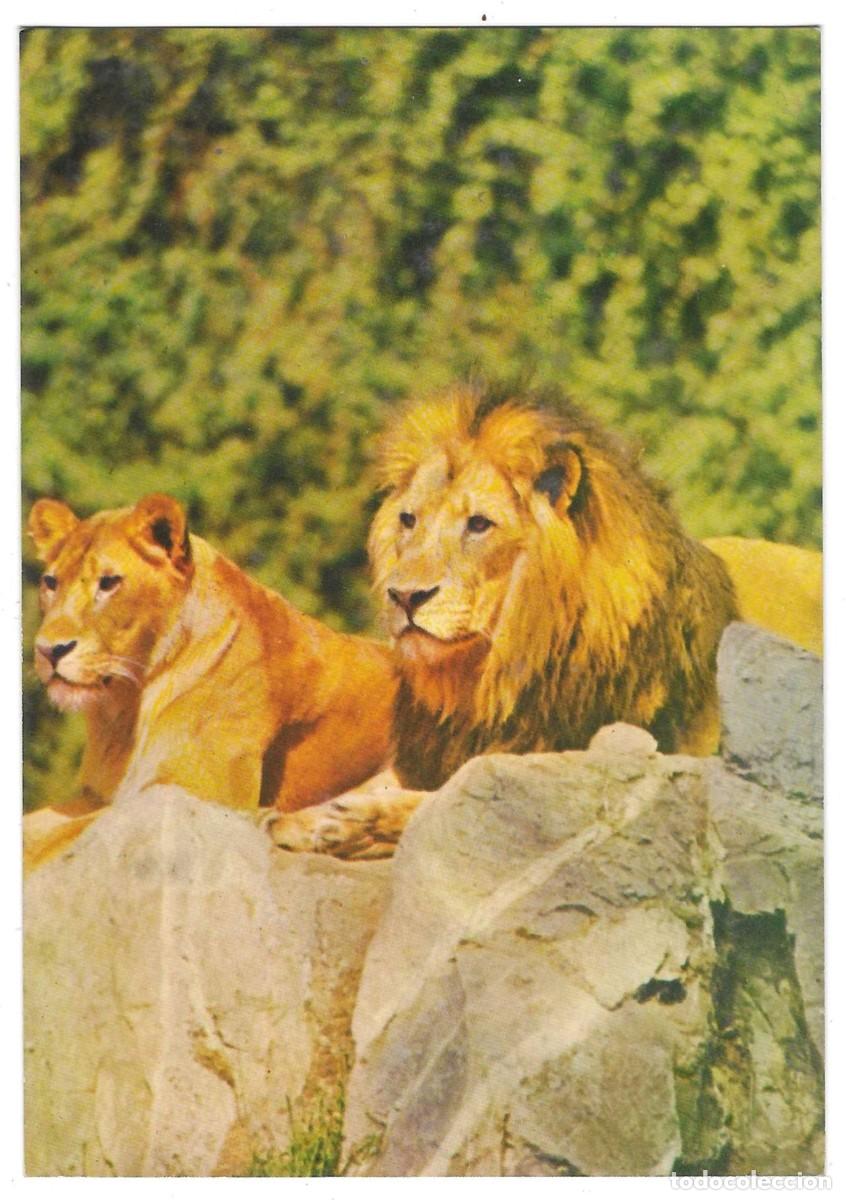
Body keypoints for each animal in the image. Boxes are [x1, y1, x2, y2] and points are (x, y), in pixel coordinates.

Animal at [25, 492, 397, 869]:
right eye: (51, 583)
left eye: (109, 582)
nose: (48, 650)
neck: (127, 705)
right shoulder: (97, 795)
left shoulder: (195, 795)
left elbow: (54, 838)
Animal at [267, 382, 822, 858]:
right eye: (409, 520)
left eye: (479, 524)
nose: (405, 596)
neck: (492, 677)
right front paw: (296, 818)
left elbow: (448, 797)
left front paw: (352, 824)